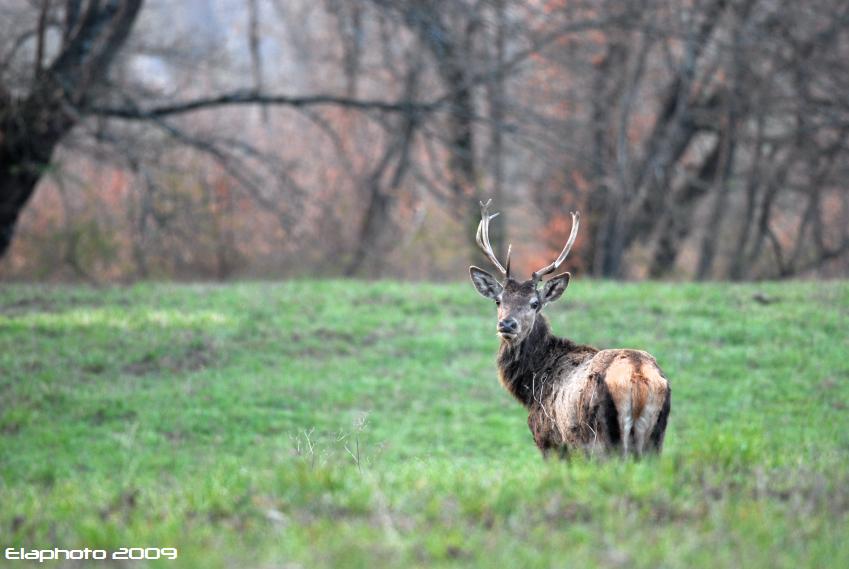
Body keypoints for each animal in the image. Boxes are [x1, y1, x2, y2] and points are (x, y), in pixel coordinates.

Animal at [470, 200, 668, 458]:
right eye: (498, 300)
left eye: (535, 303)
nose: (507, 324)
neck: (532, 387)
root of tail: (638, 375)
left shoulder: (548, 439)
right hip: (655, 438)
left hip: (602, 439)